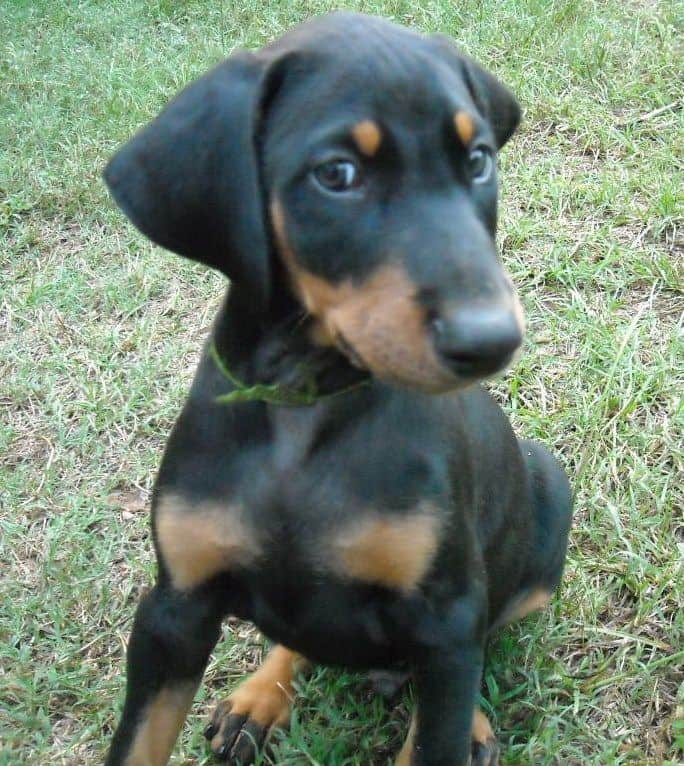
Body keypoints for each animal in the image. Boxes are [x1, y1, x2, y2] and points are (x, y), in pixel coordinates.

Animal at [101, 12, 572, 766]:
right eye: (337, 175)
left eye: (478, 161)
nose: (492, 339)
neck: (307, 404)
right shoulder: (174, 607)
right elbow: (139, 739)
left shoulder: (445, 618)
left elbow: (440, 717)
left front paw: (458, 726)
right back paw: (261, 695)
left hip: (545, 499)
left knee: (484, 641)